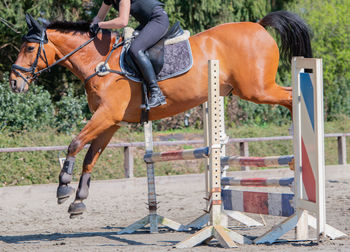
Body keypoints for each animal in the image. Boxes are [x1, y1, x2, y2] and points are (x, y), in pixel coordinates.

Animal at [9, 10, 314, 218]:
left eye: (30, 48)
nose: (14, 83)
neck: (99, 62)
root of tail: (258, 26)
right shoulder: (110, 122)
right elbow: (89, 157)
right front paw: (78, 201)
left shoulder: (106, 116)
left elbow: (74, 144)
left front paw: (62, 188)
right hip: (247, 90)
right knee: (289, 96)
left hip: (257, 90)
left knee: (290, 96)